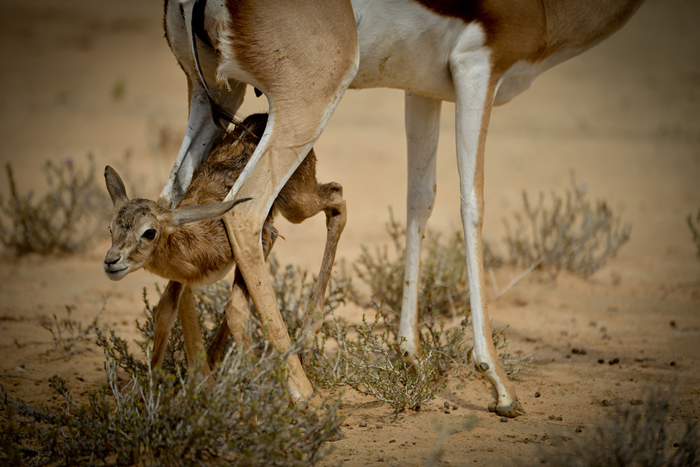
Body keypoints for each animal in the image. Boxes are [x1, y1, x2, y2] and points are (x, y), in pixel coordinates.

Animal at [102, 114, 346, 380]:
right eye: (111, 229)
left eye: (149, 232)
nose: (111, 261)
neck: (198, 238)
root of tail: (262, 116)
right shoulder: (184, 275)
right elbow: (165, 309)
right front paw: (155, 384)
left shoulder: (263, 238)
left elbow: (236, 310)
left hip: (297, 206)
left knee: (337, 196)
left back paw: (307, 337)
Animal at [160, 0, 644, 416]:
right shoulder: (479, 68)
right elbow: (472, 201)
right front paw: (499, 385)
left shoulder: (423, 89)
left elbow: (420, 197)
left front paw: (411, 355)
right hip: (307, 105)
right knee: (245, 213)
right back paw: (302, 392)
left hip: (213, 98)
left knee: (170, 204)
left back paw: (188, 380)